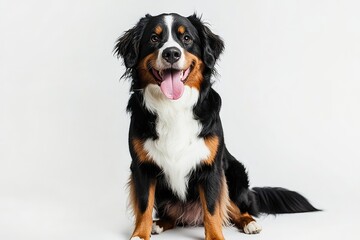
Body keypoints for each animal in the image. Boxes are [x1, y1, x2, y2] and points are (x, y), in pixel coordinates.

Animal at [114, 13, 318, 240]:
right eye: (153, 38)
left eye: (186, 38)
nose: (171, 53)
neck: (173, 106)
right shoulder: (142, 167)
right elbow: (144, 205)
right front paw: (140, 234)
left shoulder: (211, 168)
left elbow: (212, 208)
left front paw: (215, 236)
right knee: (172, 215)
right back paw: (158, 224)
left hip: (234, 172)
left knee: (235, 207)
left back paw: (249, 222)